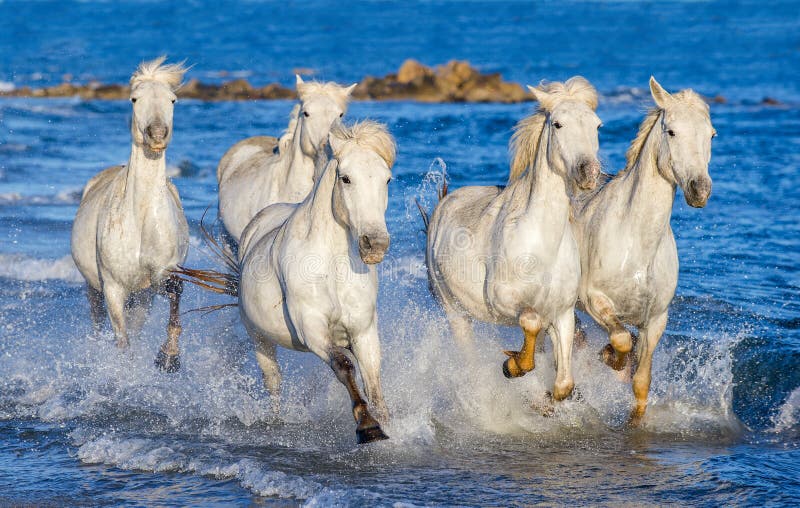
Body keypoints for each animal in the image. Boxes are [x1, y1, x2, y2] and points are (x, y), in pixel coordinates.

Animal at [71, 57, 190, 372]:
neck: (141, 219)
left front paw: (169, 357)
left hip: (142, 297)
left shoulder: (159, 277)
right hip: (94, 290)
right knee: (98, 322)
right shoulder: (113, 287)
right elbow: (122, 341)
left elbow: (176, 292)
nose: (157, 135)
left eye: (172, 99)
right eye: (134, 99)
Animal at [178, 121, 396, 442]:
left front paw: (385, 424)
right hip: (259, 338)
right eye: (346, 178)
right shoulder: (311, 327)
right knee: (273, 382)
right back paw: (275, 421)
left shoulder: (363, 330)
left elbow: (373, 381)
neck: (332, 267)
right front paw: (367, 426)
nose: (375, 245)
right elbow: (344, 366)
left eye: (387, 179)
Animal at [424, 77, 600, 400]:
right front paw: (513, 366)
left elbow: (563, 385)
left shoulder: (563, 313)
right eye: (558, 124)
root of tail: (444, 202)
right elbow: (530, 321)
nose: (589, 172)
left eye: (597, 125)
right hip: (455, 313)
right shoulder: (502, 300)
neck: (541, 246)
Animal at [572, 76, 716, 424]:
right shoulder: (594, 300)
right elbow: (621, 340)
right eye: (671, 131)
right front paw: (610, 358)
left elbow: (641, 382)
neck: (637, 245)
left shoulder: (656, 320)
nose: (699, 190)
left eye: (711, 134)